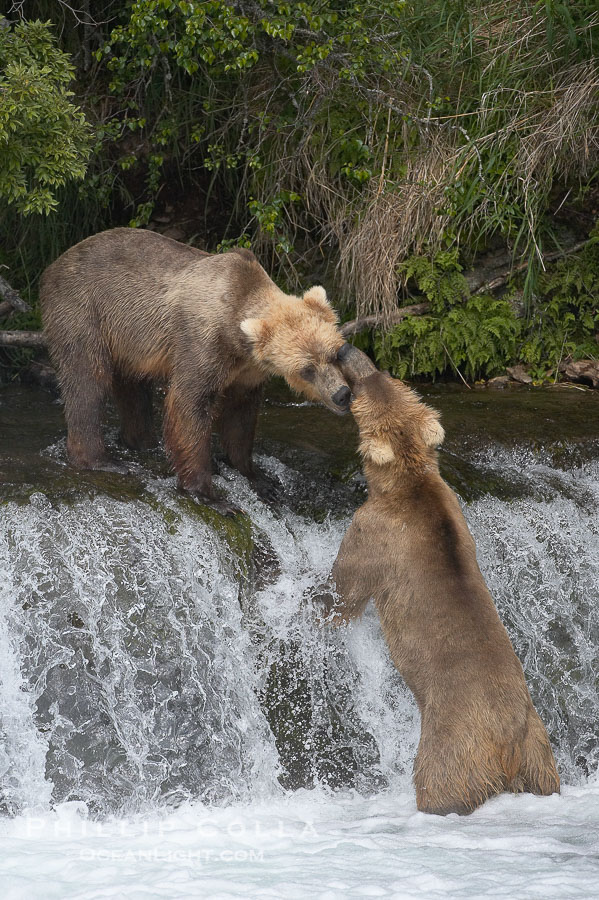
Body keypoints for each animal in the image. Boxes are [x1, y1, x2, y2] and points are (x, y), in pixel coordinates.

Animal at [40, 227, 353, 515]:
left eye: (335, 353)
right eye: (307, 369)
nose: (342, 394)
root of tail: (53, 264)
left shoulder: (247, 371)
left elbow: (241, 416)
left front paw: (257, 477)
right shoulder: (203, 344)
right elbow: (189, 404)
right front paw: (211, 495)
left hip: (127, 341)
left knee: (133, 388)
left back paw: (140, 441)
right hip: (85, 311)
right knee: (88, 380)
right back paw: (103, 460)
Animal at [322, 359, 560, 814]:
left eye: (364, 393)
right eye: (392, 380)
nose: (360, 366)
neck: (406, 480)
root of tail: (507, 744)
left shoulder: (373, 533)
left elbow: (344, 593)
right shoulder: (457, 514)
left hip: (452, 739)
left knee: (440, 779)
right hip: (539, 747)